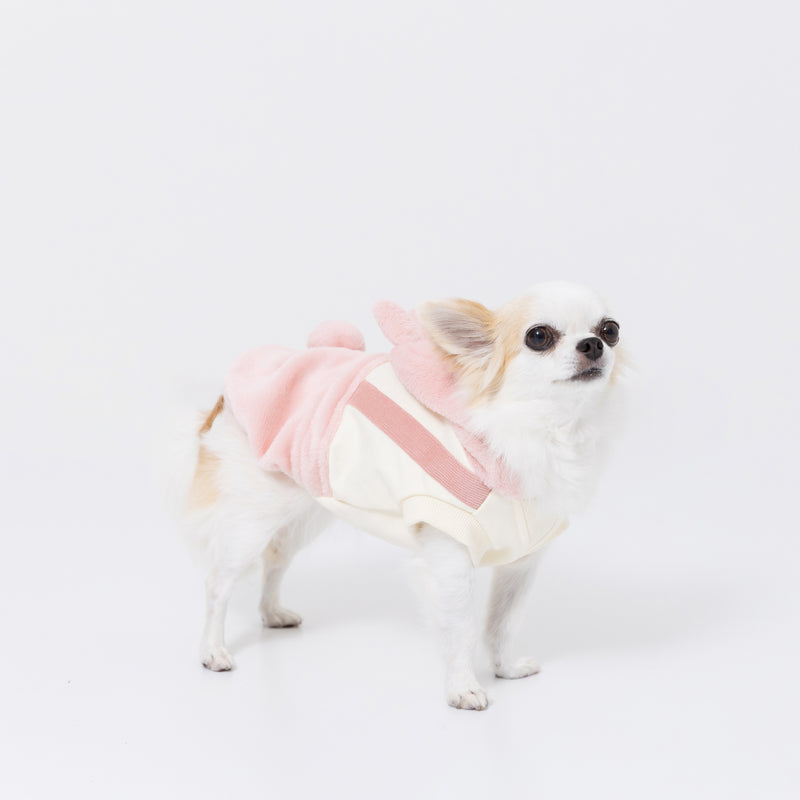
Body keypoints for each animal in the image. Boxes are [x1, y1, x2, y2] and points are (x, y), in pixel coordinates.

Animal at [167, 281, 626, 710]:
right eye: (539, 336)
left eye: (611, 329)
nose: (593, 344)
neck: (542, 429)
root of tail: (224, 398)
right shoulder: (449, 555)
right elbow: (461, 628)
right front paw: (463, 688)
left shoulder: (521, 562)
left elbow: (502, 622)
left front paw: (506, 668)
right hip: (253, 519)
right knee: (218, 583)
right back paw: (212, 650)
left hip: (304, 511)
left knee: (275, 560)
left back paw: (271, 613)